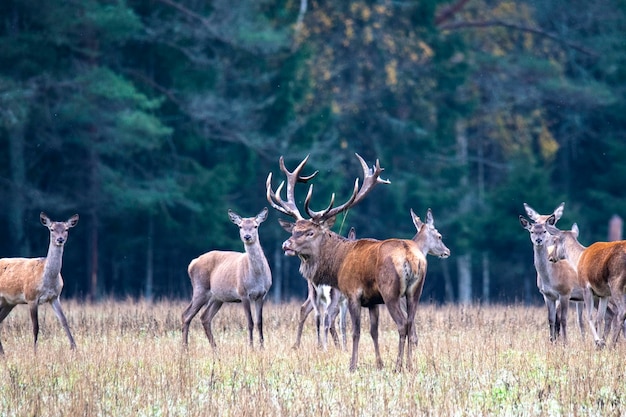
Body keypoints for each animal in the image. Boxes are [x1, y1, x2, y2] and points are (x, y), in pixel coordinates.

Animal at [0, 213, 79, 352]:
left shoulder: (55, 297)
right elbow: (36, 326)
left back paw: (3, 353)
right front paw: (35, 351)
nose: (60, 239)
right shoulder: (31, 297)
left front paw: (74, 348)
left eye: (66, 229)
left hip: (8, 302)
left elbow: (64, 320)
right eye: (51, 229)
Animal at [179, 207, 270, 348]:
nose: (247, 236)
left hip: (217, 297)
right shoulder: (243, 293)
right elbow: (250, 322)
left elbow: (259, 323)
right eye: (240, 226)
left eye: (256, 225)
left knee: (204, 317)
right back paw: (185, 348)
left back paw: (214, 348)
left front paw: (262, 347)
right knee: (186, 315)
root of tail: (192, 263)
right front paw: (251, 347)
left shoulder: (262, 295)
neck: (257, 277)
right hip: (200, 289)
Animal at [268, 153, 444, 370]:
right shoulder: (373, 301)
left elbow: (356, 331)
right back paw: (410, 365)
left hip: (391, 291)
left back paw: (398, 365)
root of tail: (410, 256)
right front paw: (379, 363)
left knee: (402, 324)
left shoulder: (353, 293)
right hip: (414, 292)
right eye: (294, 230)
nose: (286, 245)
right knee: (411, 324)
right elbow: (374, 332)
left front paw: (352, 365)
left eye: (310, 232)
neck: (338, 263)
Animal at [516, 202, 580, 342]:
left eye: (545, 230)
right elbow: (551, 319)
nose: (539, 240)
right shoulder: (547, 295)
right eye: (532, 231)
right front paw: (552, 341)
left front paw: (565, 342)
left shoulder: (565, 292)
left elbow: (563, 319)